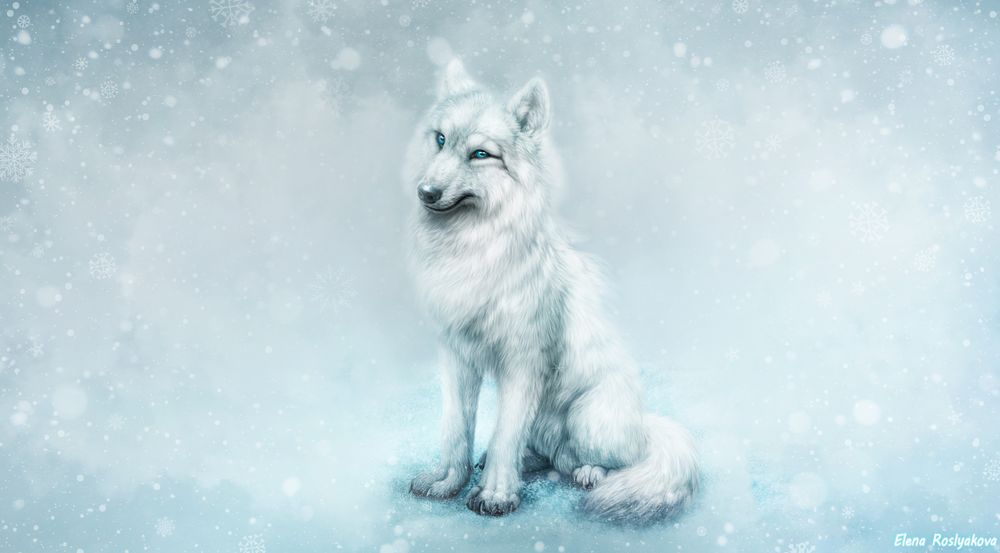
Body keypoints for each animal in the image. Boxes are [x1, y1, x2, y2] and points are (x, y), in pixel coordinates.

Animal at [405, 59, 699, 523]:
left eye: (480, 154)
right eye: (440, 140)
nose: (425, 192)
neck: (476, 254)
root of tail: (644, 423)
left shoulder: (522, 363)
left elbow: (505, 435)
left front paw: (496, 496)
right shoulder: (457, 356)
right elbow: (455, 430)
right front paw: (448, 482)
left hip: (585, 417)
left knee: (603, 460)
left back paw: (588, 473)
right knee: (546, 455)